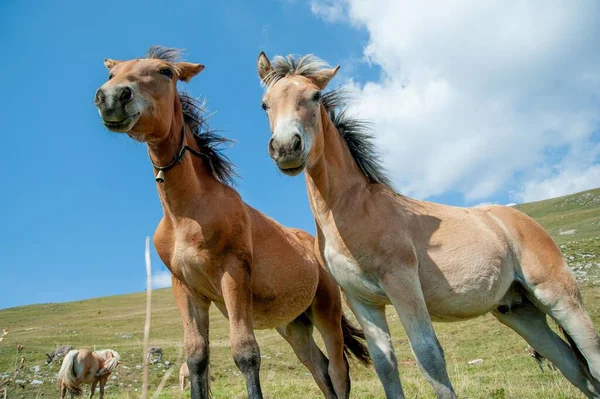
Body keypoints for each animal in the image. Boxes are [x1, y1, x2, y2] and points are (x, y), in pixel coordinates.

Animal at [92, 47, 370, 399]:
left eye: (166, 71)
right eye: (112, 74)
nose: (113, 97)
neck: (185, 214)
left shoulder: (233, 273)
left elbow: (246, 353)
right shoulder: (186, 289)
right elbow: (196, 356)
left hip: (326, 310)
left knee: (337, 370)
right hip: (293, 323)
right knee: (319, 368)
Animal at [255, 53, 600, 399]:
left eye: (314, 96)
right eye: (265, 104)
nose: (286, 148)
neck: (351, 211)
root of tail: (523, 222)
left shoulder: (402, 282)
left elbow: (429, 357)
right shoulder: (362, 301)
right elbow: (385, 365)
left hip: (560, 298)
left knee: (591, 358)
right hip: (520, 312)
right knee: (575, 369)